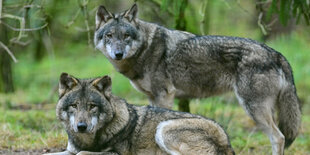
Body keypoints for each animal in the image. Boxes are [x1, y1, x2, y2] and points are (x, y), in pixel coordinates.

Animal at [47, 73, 234, 155]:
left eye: (92, 106)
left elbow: (82, 153)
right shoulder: (69, 151)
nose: (81, 126)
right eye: (74, 105)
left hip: (163, 128)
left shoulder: (116, 154)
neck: (88, 140)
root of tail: (226, 138)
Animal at [93, 3, 302, 155]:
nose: (118, 54)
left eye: (126, 36)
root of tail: (276, 54)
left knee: (279, 137)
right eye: (109, 35)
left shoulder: (164, 95)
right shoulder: (153, 98)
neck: (145, 49)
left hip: (253, 109)